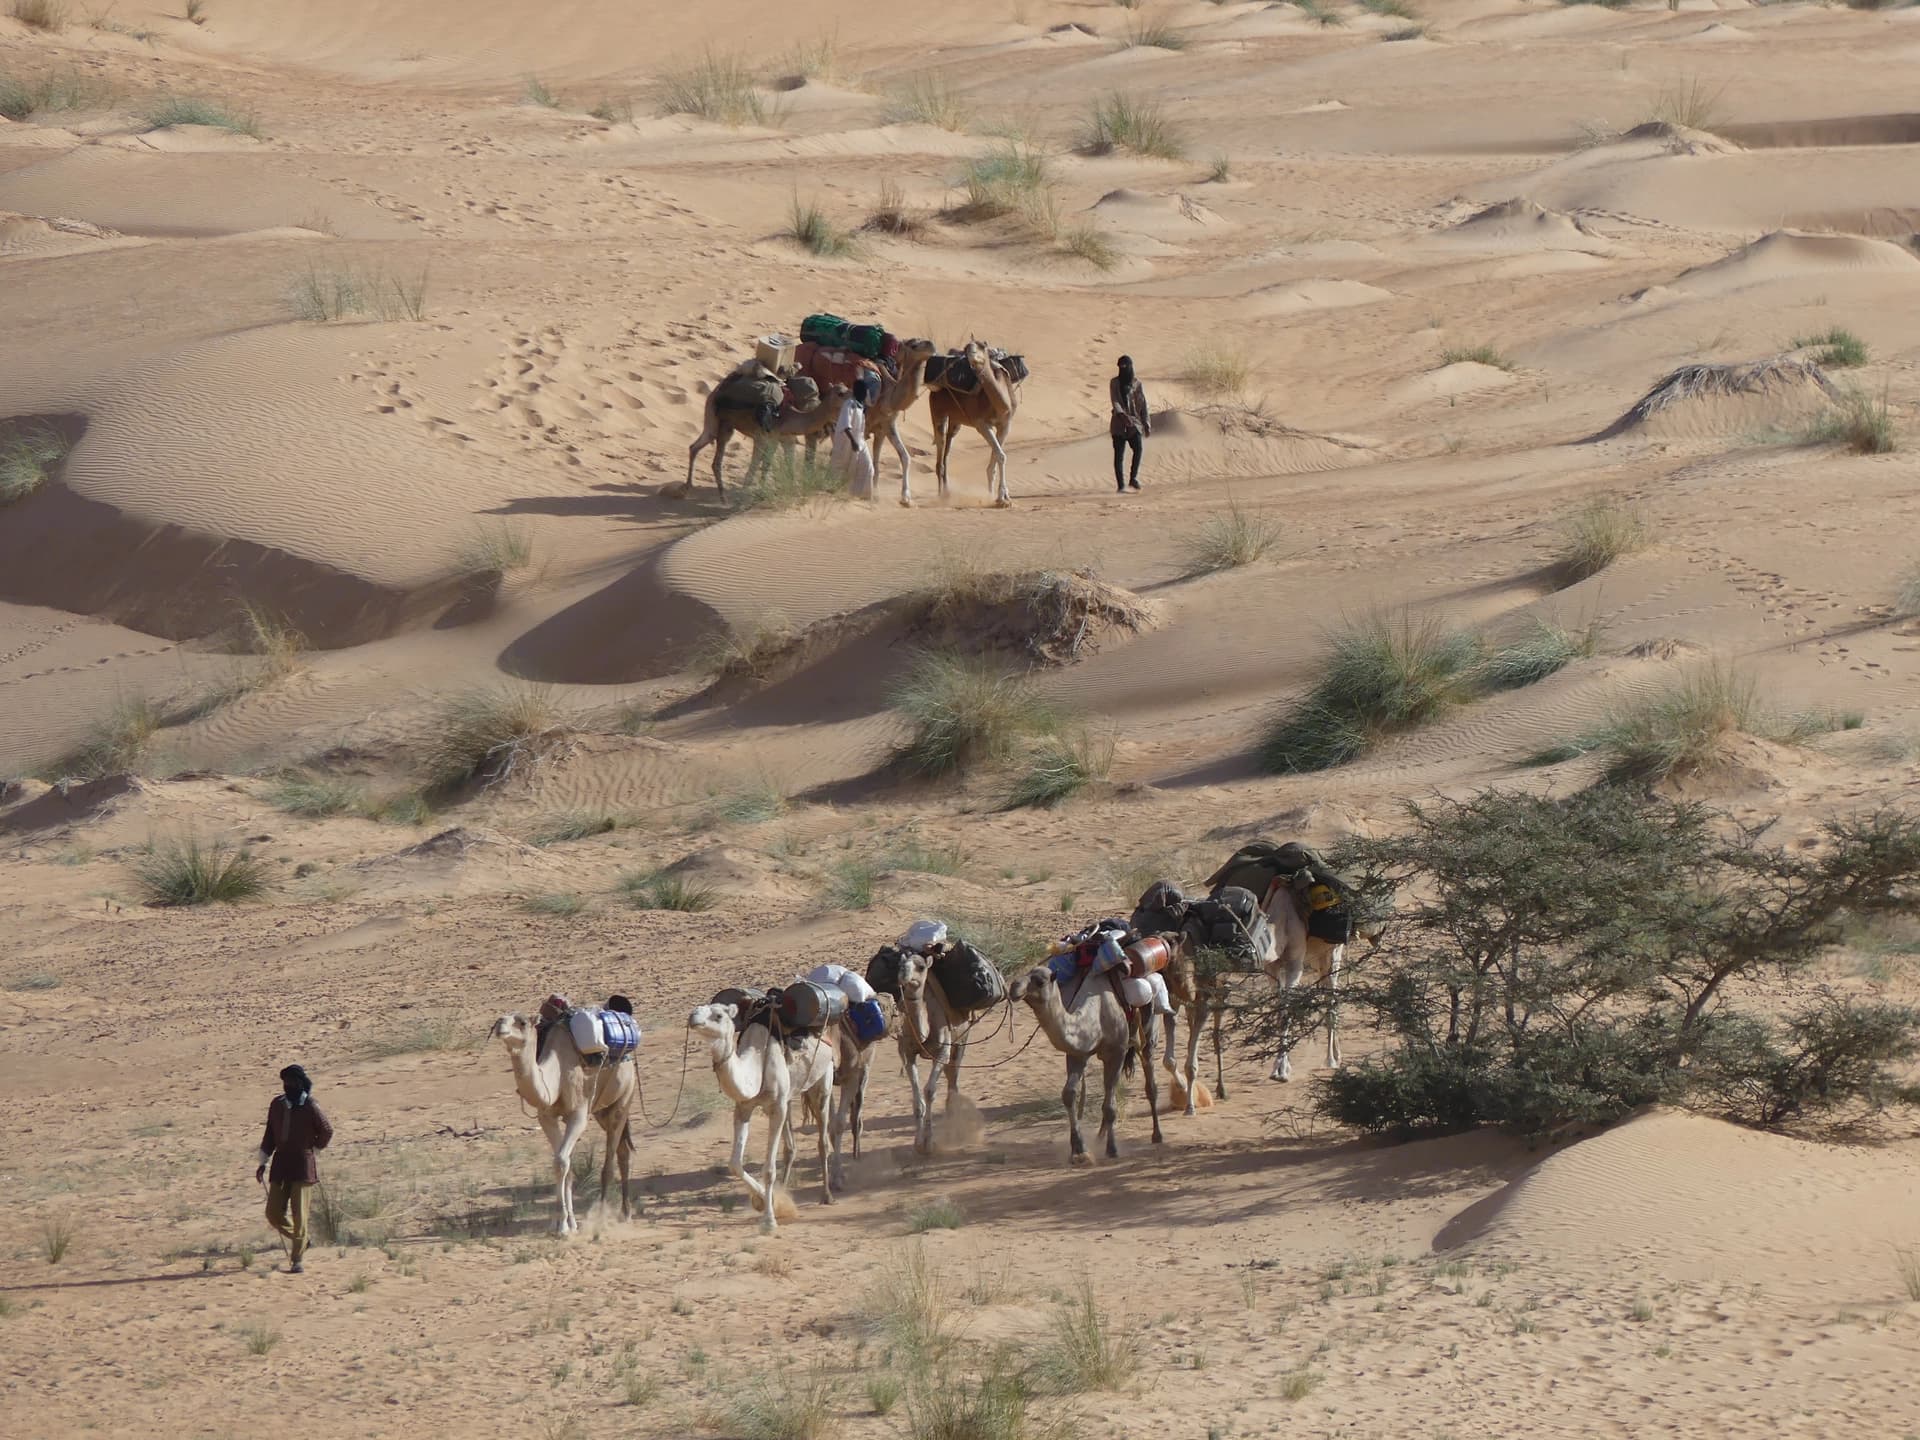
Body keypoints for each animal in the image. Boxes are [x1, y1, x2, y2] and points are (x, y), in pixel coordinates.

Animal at [491, 1013, 633, 1244]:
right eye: (498, 1020)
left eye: (522, 1022)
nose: (500, 1026)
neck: (555, 1076)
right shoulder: (547, 1117)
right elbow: (563, 1164)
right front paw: (565, 1223)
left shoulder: (578, 1115)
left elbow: (561, 1161)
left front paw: (563, 1228)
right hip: (601, 1110)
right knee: (623, 1150)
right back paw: (624, 1212)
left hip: (623, 1099)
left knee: (611, 1159)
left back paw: (603, 1218)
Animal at [691, 998, 840, 1236]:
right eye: (697, 1009)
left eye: (718, 1016)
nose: (692, 1017)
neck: (756, 1063)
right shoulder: (743, 1107)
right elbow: (734, 1164)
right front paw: (765, 1201)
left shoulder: (776, 1107)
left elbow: (769, 1169)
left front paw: (769, 1220)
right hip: (791, 1095)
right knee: (791, 1147)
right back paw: (785, 1189)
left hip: (824, 1077)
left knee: (822, 1139)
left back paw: (827, 1195)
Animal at [929, 341, 1021, 510]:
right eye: (967, 348)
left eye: (981, 347)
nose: (970, 355)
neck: (1002, 404)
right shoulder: (981, 424)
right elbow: (1000, 455)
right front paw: (1002, 498)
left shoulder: (1005, 425)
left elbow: (996, 457)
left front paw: (996, 496)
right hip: (938, 411)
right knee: (940, 446)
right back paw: (941, 496)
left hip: (955, 421)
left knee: (947, 451)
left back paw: (947, 492)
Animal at [1006, 963, 1167, 1167]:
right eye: (1026, 974)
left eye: (1040, 981)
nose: (1013, 988)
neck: (1096, 1014)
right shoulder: (1077, 1054)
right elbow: (1069, 1094)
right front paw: (1079, 1151)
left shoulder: (1117, 1052)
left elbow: (1110, 1107)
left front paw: (1112, 1150)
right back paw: (1100, 1135)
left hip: (1149, 1032)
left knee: (1149, 1080)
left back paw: (1157, 1135)